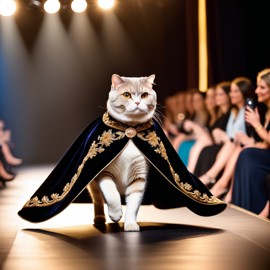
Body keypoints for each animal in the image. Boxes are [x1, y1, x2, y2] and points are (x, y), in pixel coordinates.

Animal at [87, 74, 157, 232]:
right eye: (126, 95)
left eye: (144, 95)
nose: (137, 102)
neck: (129, 133)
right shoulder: (105, 173)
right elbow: (112, 195)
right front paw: (115, 214)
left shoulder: (138, 178)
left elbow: (133, 205)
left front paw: (130, 224)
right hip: (93, 186)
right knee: (98, 200)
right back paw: (99, 219)